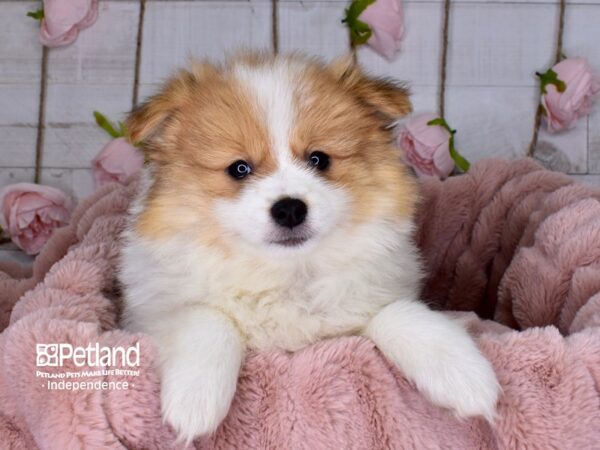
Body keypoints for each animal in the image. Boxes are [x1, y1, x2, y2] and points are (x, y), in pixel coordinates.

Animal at [119, 52, 500, 442]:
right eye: (239, 168)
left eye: (319, 159)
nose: (289, 208)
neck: (287, 274)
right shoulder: (151, 314)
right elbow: (208, 318)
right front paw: (195, 397)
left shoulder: (367, 302)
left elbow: (398, 313)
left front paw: (461, 372)